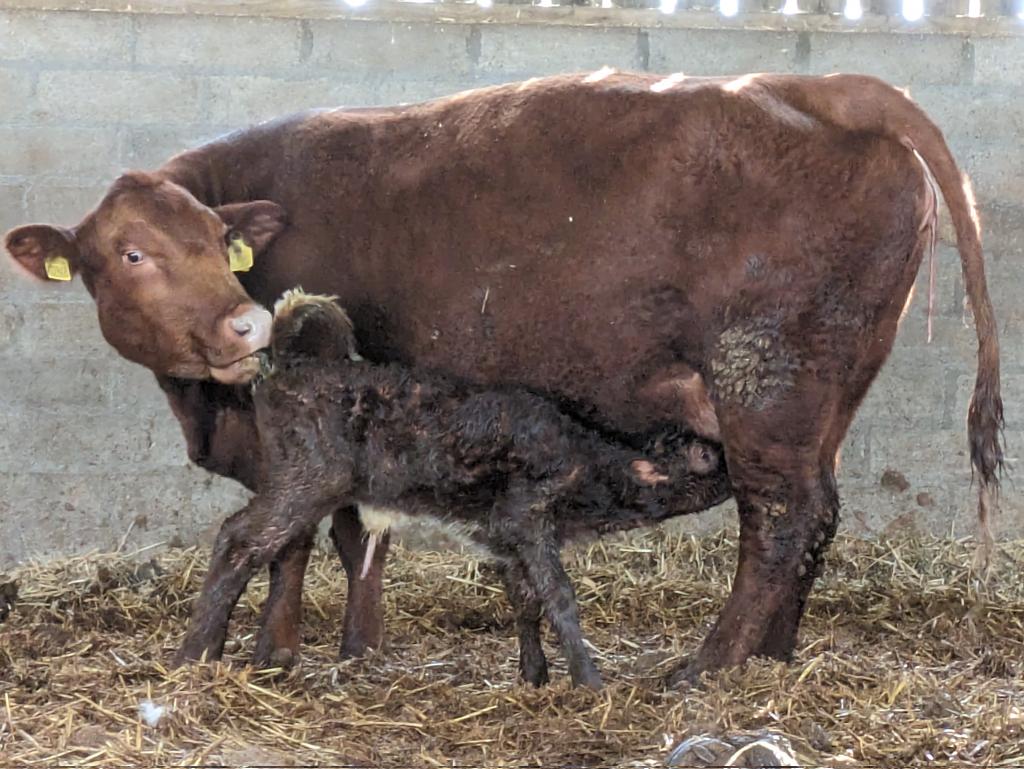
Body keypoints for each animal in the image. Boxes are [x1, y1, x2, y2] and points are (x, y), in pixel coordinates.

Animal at [4, 72, 1003, 684]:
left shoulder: (307, 427)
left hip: (765, 385)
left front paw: (287, 650)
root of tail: (813, 87)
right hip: (820, 401)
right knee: (818, 515)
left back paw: (705, 666)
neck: (208, 410)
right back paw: (772, 656)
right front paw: (329, 646)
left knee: (782, 519)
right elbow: (336, 535)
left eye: (220, 244)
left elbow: (312, 536)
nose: (244, 321)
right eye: (131, 252)